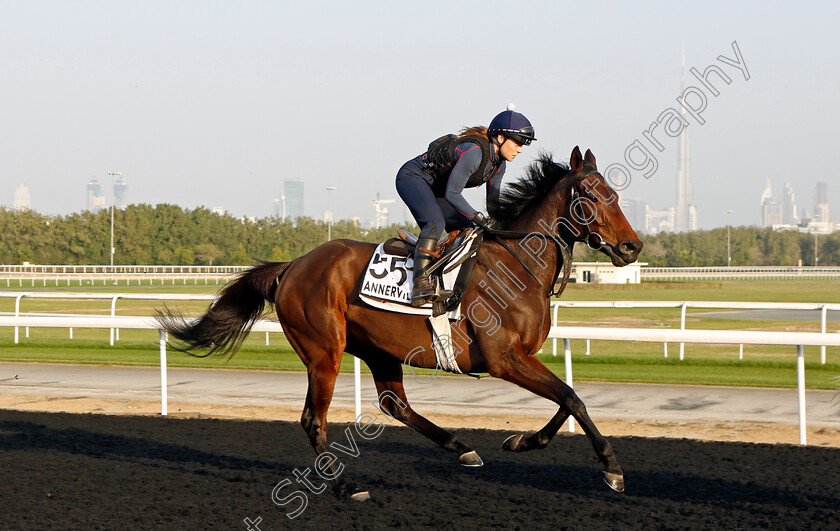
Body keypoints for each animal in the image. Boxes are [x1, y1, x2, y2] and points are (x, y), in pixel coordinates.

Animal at [158, 148, 644, 500]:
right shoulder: (503, 359)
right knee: (314, 419)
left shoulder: (522, 357)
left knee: (394, 404)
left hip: (379, 349)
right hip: (324, 351)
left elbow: (569, 398)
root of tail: (293, 265)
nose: (632, 247)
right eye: (592, 197)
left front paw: (520, 441)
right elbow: (572, 398)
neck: (518, 263)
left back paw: (462, 449)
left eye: (617, 196)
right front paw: (613, 471)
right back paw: (346, 487)